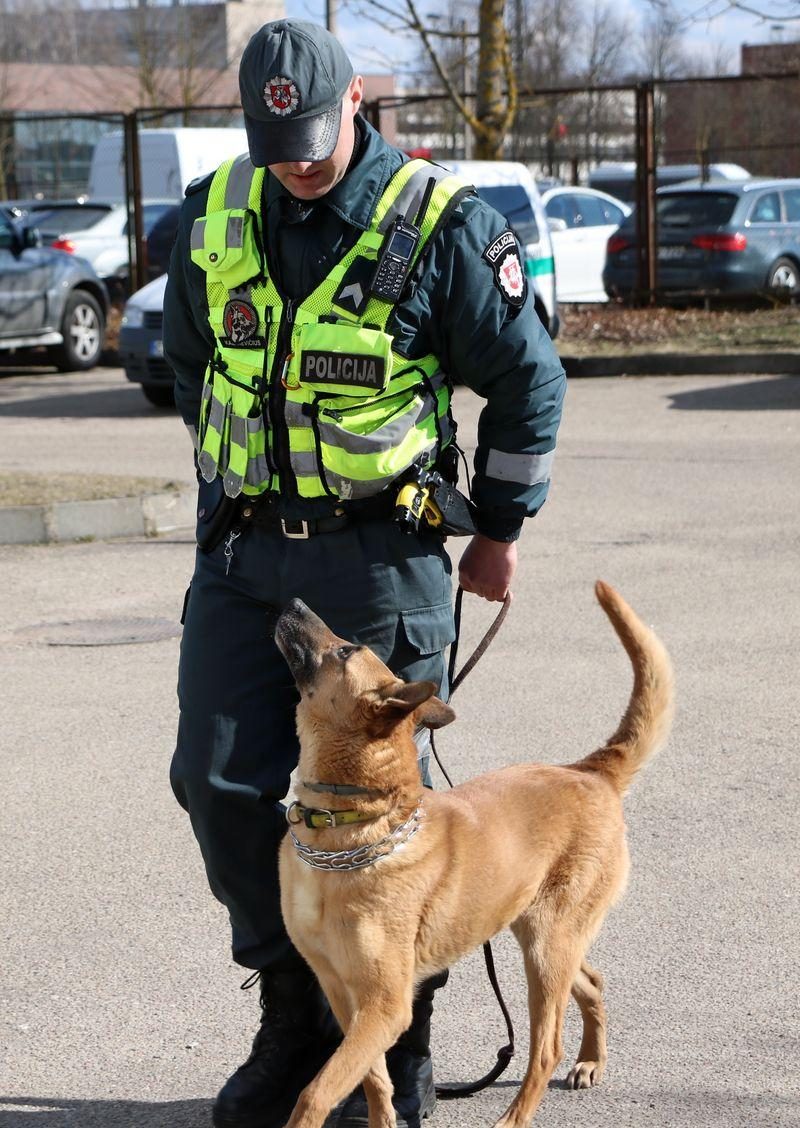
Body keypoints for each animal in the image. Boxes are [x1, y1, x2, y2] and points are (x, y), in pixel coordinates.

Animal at [274, 582, 672, 1128]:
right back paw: (592, 1059)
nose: (292, 601)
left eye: (347, 650)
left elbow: (316, 1092)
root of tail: (591, 771)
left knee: (545, 1048)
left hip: (546, 949)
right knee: (592, 981)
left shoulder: (385, 1006)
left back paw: (515, 1115)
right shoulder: (344, 994)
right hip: (545, 938)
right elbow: (374, 1082)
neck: (351, 826)